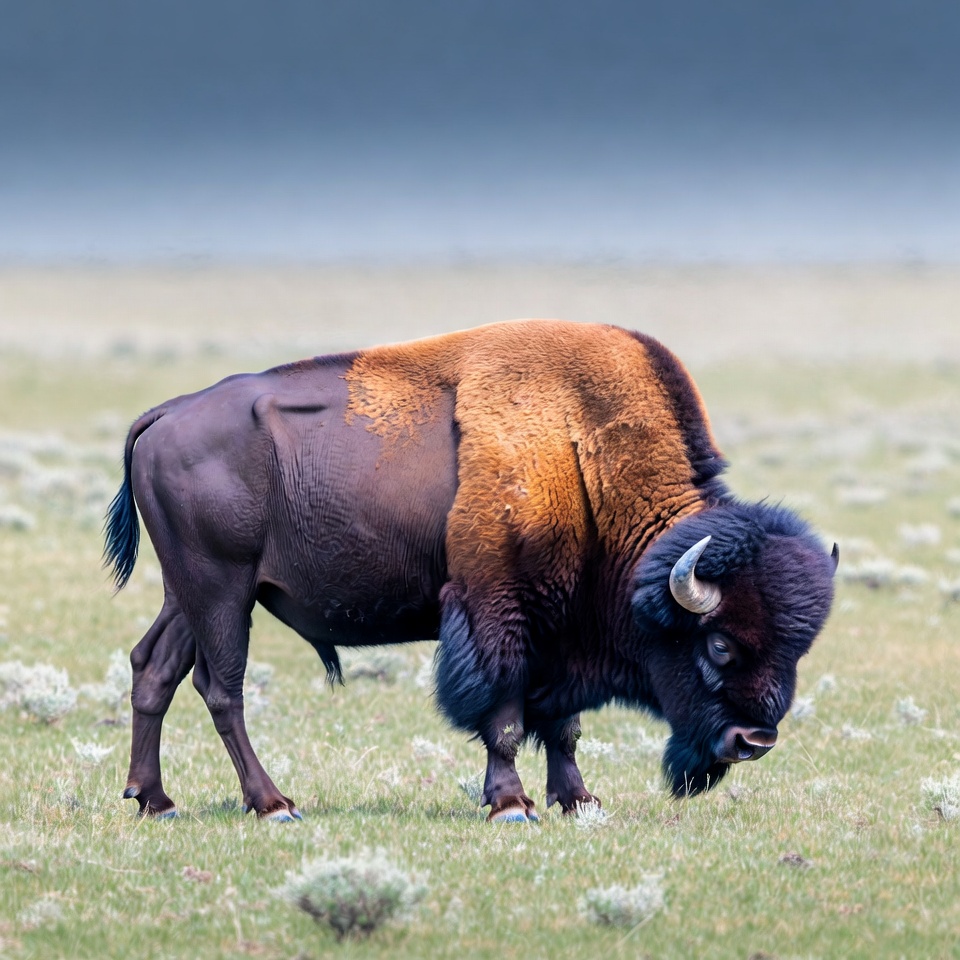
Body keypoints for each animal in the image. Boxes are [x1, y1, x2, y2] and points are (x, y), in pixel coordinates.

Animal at [104, 320, 836, 822]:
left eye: (797, 648)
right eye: (719, 644)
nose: (755, 740)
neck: (583, 453)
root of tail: (165, 414)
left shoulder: (560, 631)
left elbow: (563, 726)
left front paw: (580, 800)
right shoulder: (499, 611)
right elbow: (505, 719)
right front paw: (512, 805)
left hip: (192, 594)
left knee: (153, 668)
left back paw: (154, 799)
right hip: (222, 589)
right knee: (219, 686)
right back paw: (273, 803)